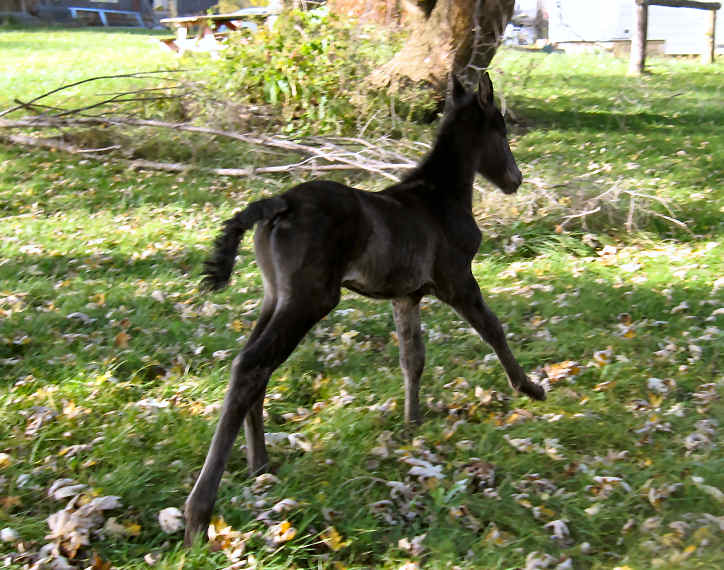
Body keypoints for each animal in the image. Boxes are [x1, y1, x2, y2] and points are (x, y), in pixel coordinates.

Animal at [184, 73, 545, 544]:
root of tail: (281, 202)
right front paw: (530, 387)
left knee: (251, 365)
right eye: (501, 132)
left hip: (275, 297)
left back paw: (260, 464)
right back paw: (199, 512)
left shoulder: (406, 295)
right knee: (251, 364)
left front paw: (412, 422)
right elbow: (493, 329)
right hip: (311, 299)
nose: (515, 179)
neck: (439, 197)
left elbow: (413, 357)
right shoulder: (457, 282)